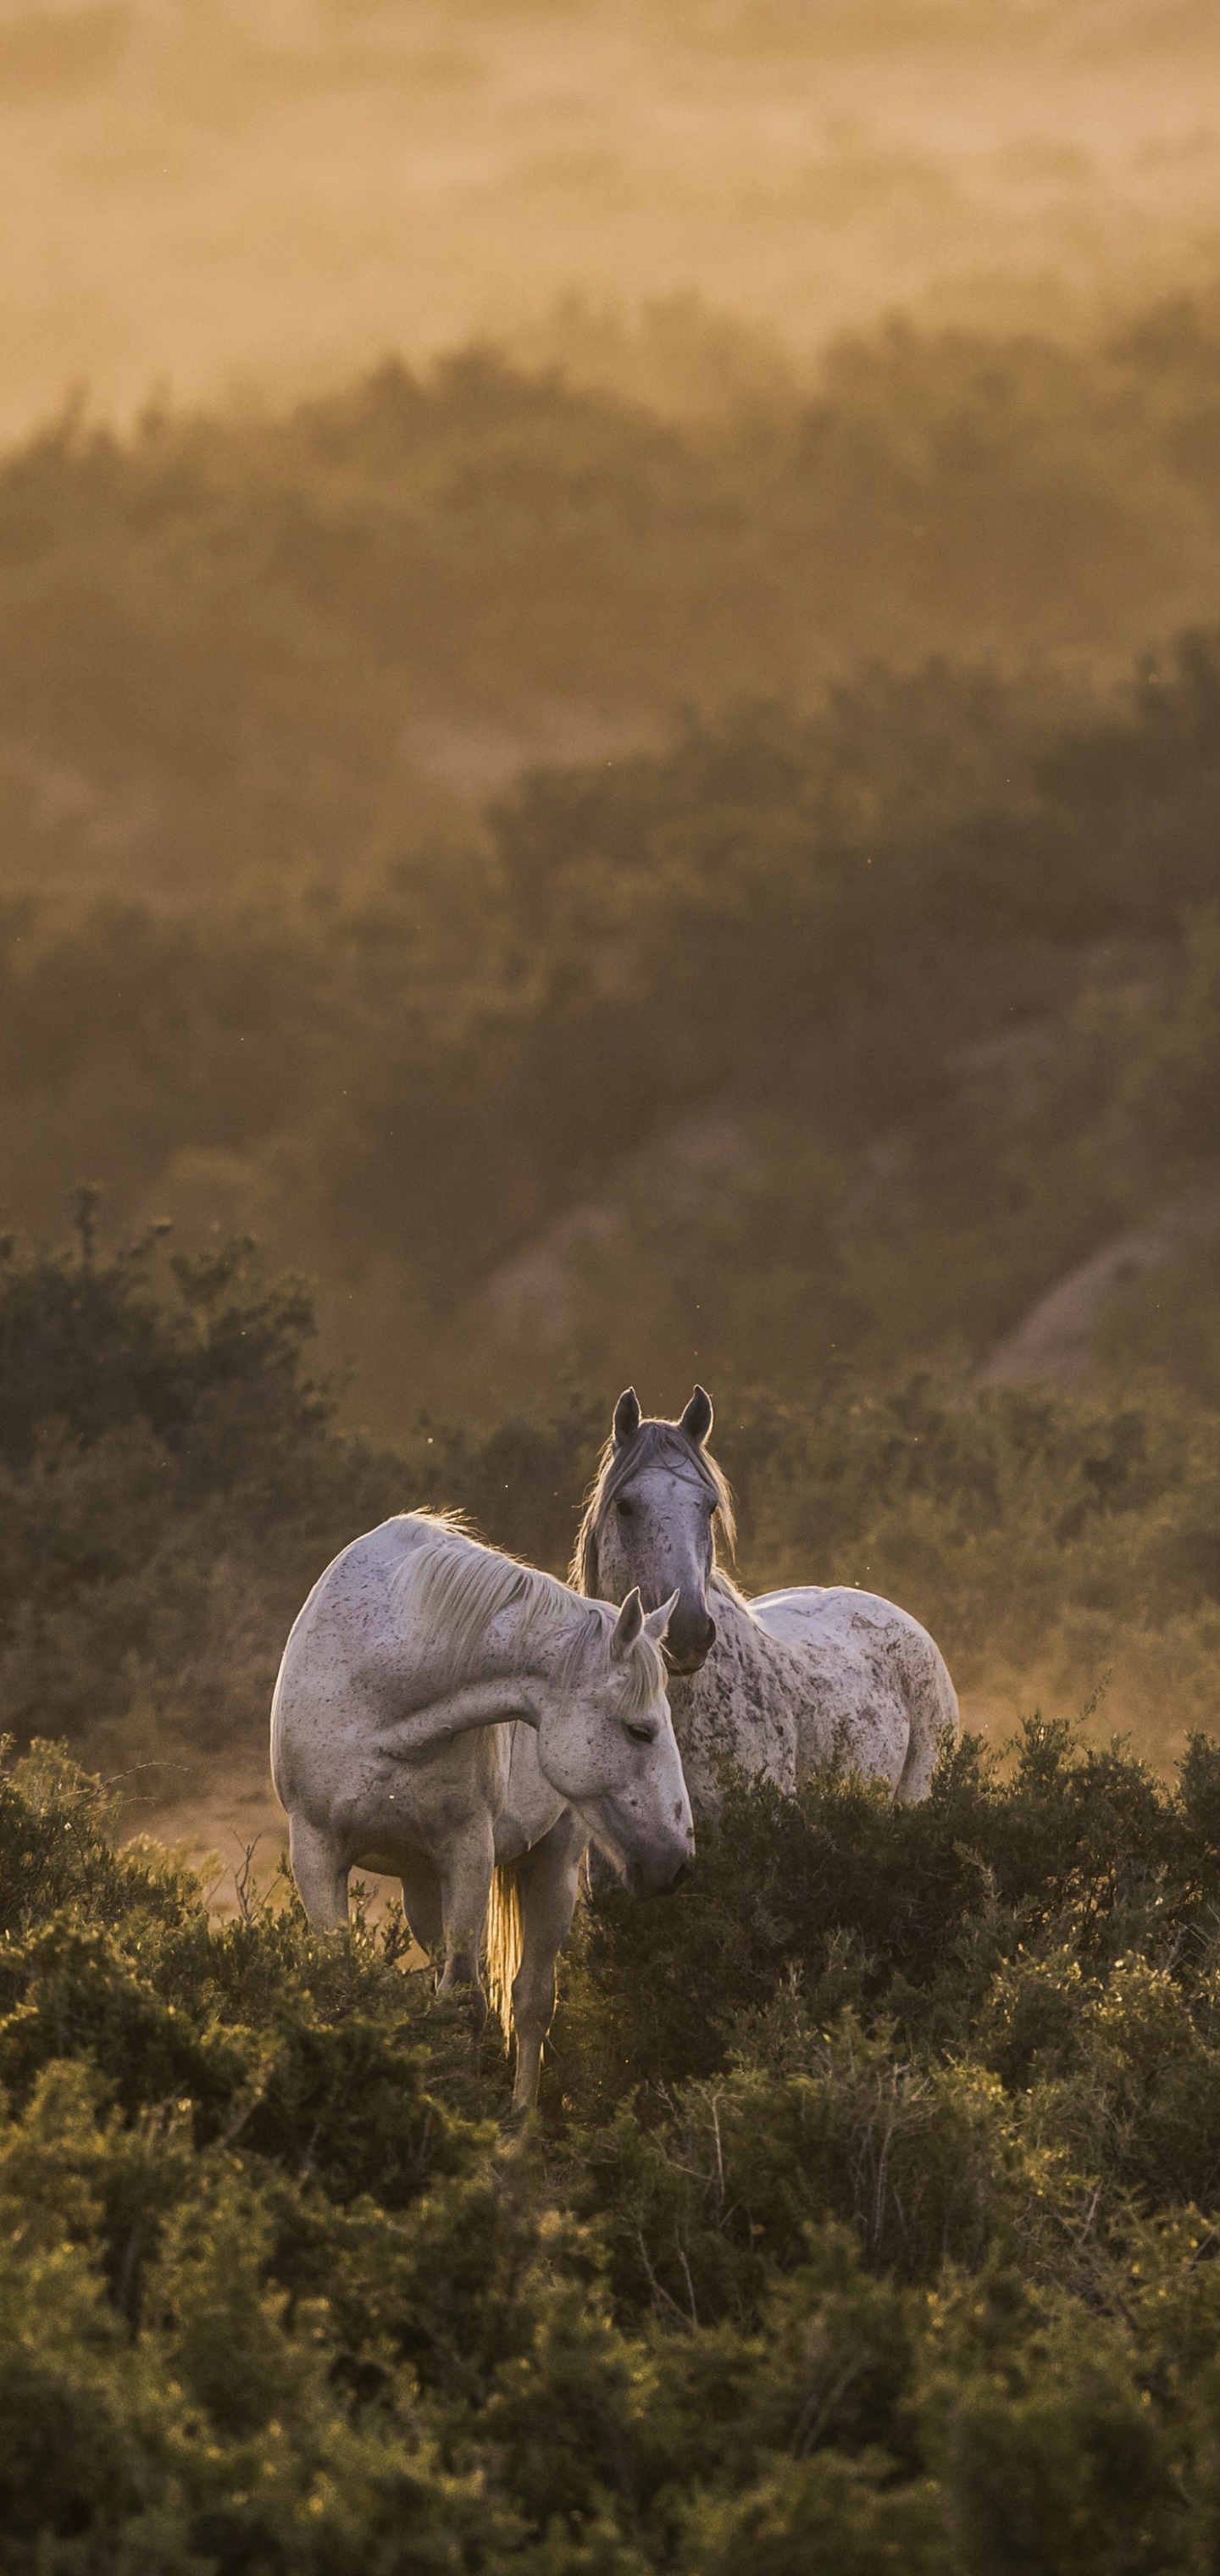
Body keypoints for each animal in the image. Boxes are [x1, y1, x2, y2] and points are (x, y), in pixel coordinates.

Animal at [271, 1510, 691, 2111]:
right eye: (639, 1730)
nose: (676, 1860)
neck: (379, 1697)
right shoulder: (316, 1853)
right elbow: (344, 1993)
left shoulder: (466, 1854)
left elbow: (464, 2006)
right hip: (422, 1883)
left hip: (552, 1870)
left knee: (532, 1999)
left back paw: (521, 2121)